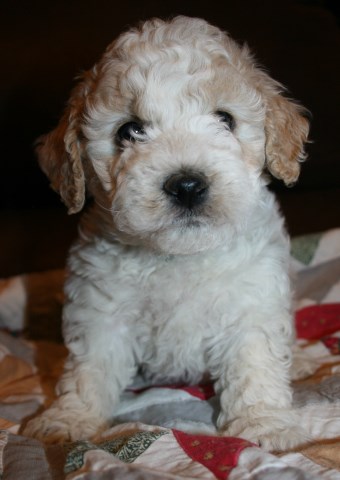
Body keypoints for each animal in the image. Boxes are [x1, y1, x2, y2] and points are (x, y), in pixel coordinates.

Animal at [23, 15, 310, 450]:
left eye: (225, 120)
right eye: (128, 131)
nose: (187, 185)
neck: (180, 256)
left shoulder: (252, 300)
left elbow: (255, 360)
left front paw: (264, 423)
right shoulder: (102, 310)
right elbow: (90, 367)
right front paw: (70, 419)